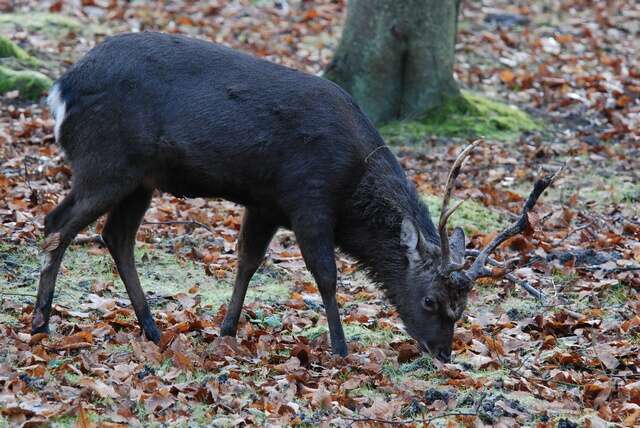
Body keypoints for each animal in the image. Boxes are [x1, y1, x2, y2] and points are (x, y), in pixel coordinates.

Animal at [33, 31, 560, 362]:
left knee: (115, 236)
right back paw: (41, 321)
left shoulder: (266, 202)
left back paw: (152, 327)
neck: (352, 183)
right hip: (106, 161)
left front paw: (226, 330)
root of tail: (60, 90)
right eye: (431, 301)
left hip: (142, 178)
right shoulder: (308, 196)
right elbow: (326, 275)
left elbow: (247, 260)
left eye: (463, 308)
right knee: (57, 223)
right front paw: (341, 348)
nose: (444, 353)